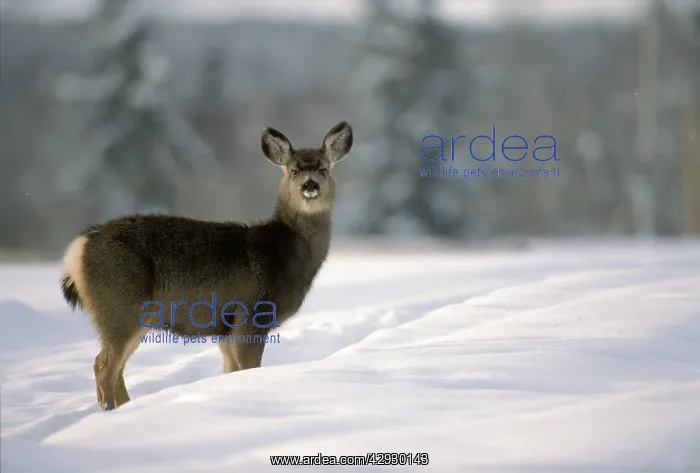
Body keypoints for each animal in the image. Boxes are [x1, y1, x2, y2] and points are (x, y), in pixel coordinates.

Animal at [60, 121, 353, 410]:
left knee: (116, 370)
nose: (310, 185)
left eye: (323, 168)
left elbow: (230, 369)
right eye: (294, 170)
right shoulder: (252, 314)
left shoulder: (224, 325)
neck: (287, 255)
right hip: (119, 305)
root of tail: (78, 248)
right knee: (103, 366)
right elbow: (249, 367)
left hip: (133, 315)